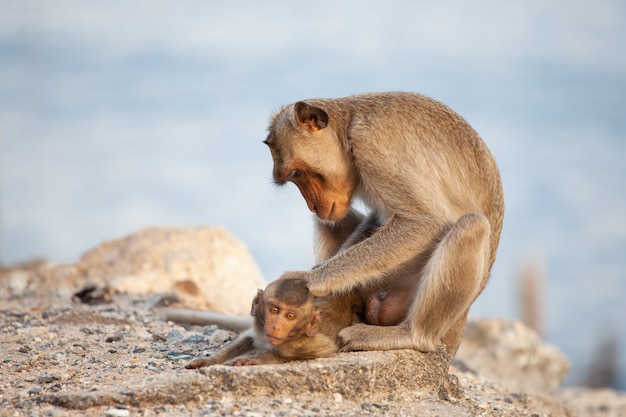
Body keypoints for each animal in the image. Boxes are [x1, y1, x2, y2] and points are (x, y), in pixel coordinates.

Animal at [184, 276, 360, 368]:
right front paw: (210, 360)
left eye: (290, 316)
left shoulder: (311, 343)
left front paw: (257, 359)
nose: (276, 326)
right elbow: (248, 338)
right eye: (274, 310)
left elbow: (326, 349)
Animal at [262, 92, 502, 354]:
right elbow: (377, 217)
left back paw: (412, 335)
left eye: (296, 173)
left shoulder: (372, 149)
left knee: (472, 226)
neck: (348, 128)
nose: (313, 206)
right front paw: (320, 276)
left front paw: (308, 280)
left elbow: (424, 222)